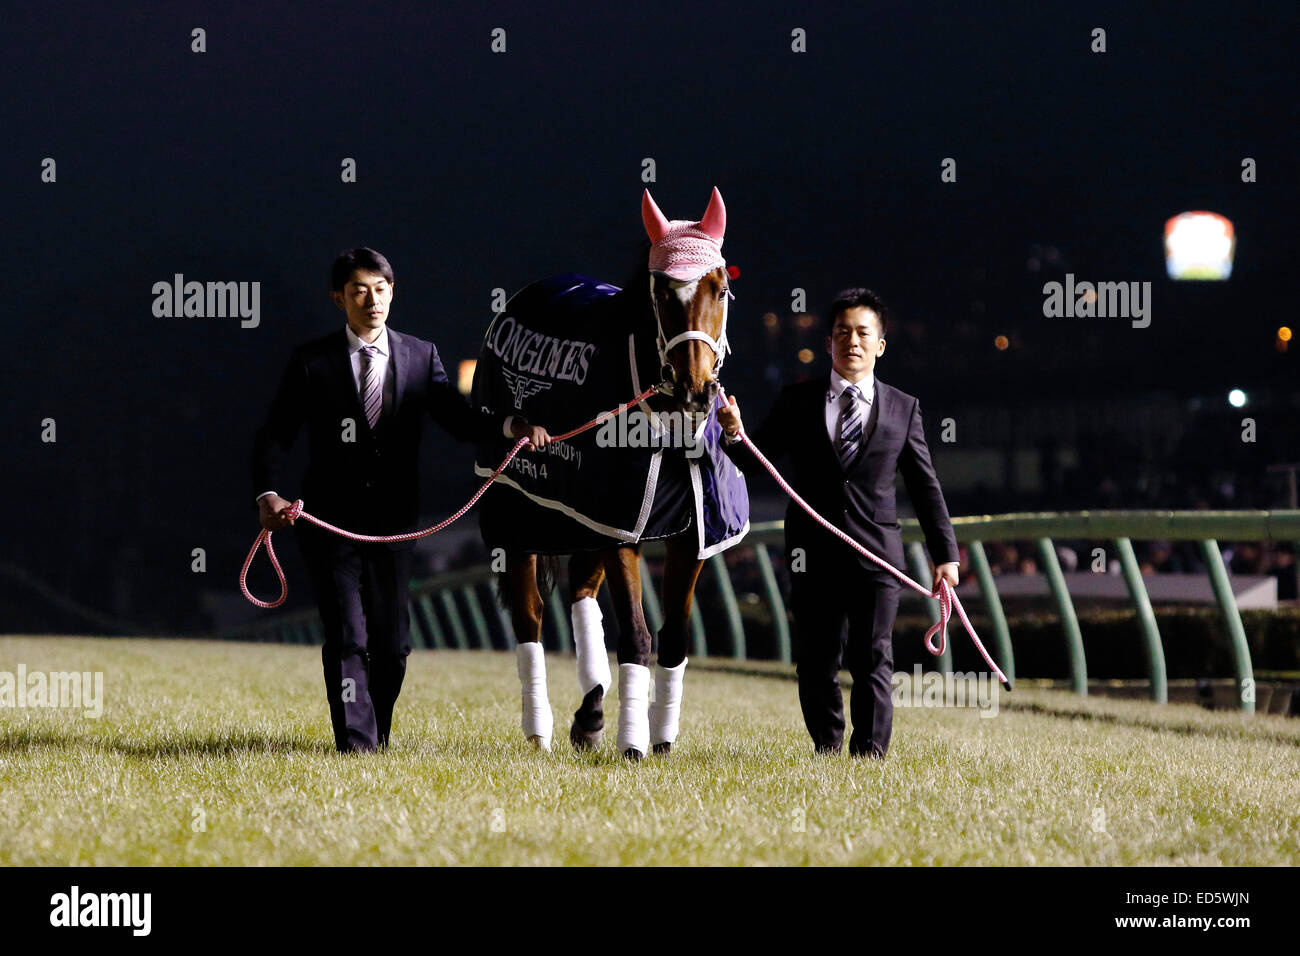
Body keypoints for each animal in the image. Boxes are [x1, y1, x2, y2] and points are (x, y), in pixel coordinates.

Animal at [473, 187, 748, 759]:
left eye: (720, 287)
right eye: (663, 293)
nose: (696, 390)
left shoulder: (687, 530)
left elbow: (674, 636)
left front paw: (660, 736)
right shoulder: (623, 525)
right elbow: (638, 635)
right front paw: (634, 743)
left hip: (584, 518)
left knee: (580, 592)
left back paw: (592, 711)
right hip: (518, 507)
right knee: (529, 613)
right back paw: (540, 727)